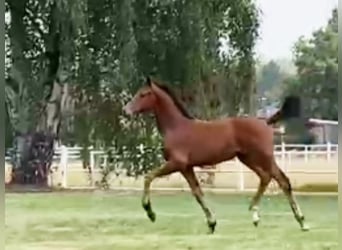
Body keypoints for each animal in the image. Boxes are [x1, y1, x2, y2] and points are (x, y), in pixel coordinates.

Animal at [123, 77, 310, 233]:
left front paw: (150, 212)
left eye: (143, 94)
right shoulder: (186, 168)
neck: (176, 127)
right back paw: (264, 217)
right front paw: (211, 223)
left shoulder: (177, 163)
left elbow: (149, 177)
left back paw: (299, 221)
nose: (126, 110)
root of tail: (265, 122)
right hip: (248, 158)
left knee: (281, 180)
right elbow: (198, 193)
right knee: (267, 177)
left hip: (263, 157)